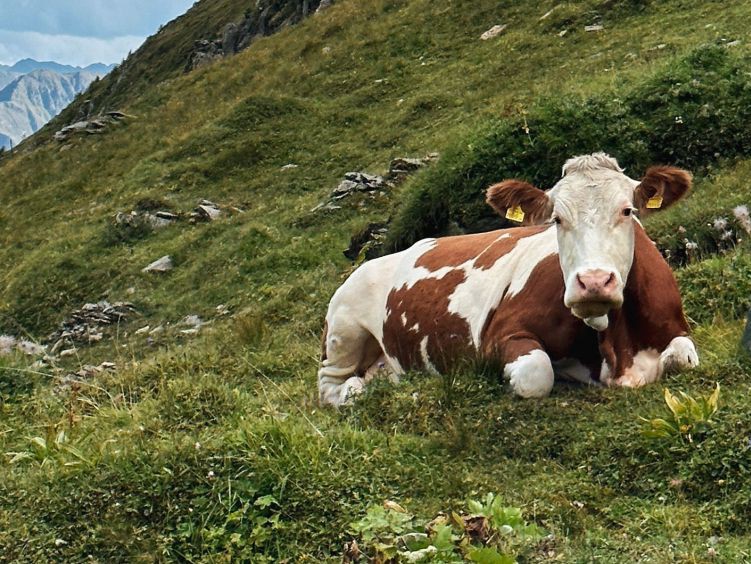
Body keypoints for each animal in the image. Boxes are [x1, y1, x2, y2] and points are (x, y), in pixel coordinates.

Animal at [318, 153, 699, 407]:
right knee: (330, 385)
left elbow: (683, 358)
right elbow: (536, 373)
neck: (617, 347)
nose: (592, 282)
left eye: (627, 211)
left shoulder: (675, 328)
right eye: (556, 219)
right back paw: (358, 389)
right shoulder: (500, 334)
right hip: (344, 329)